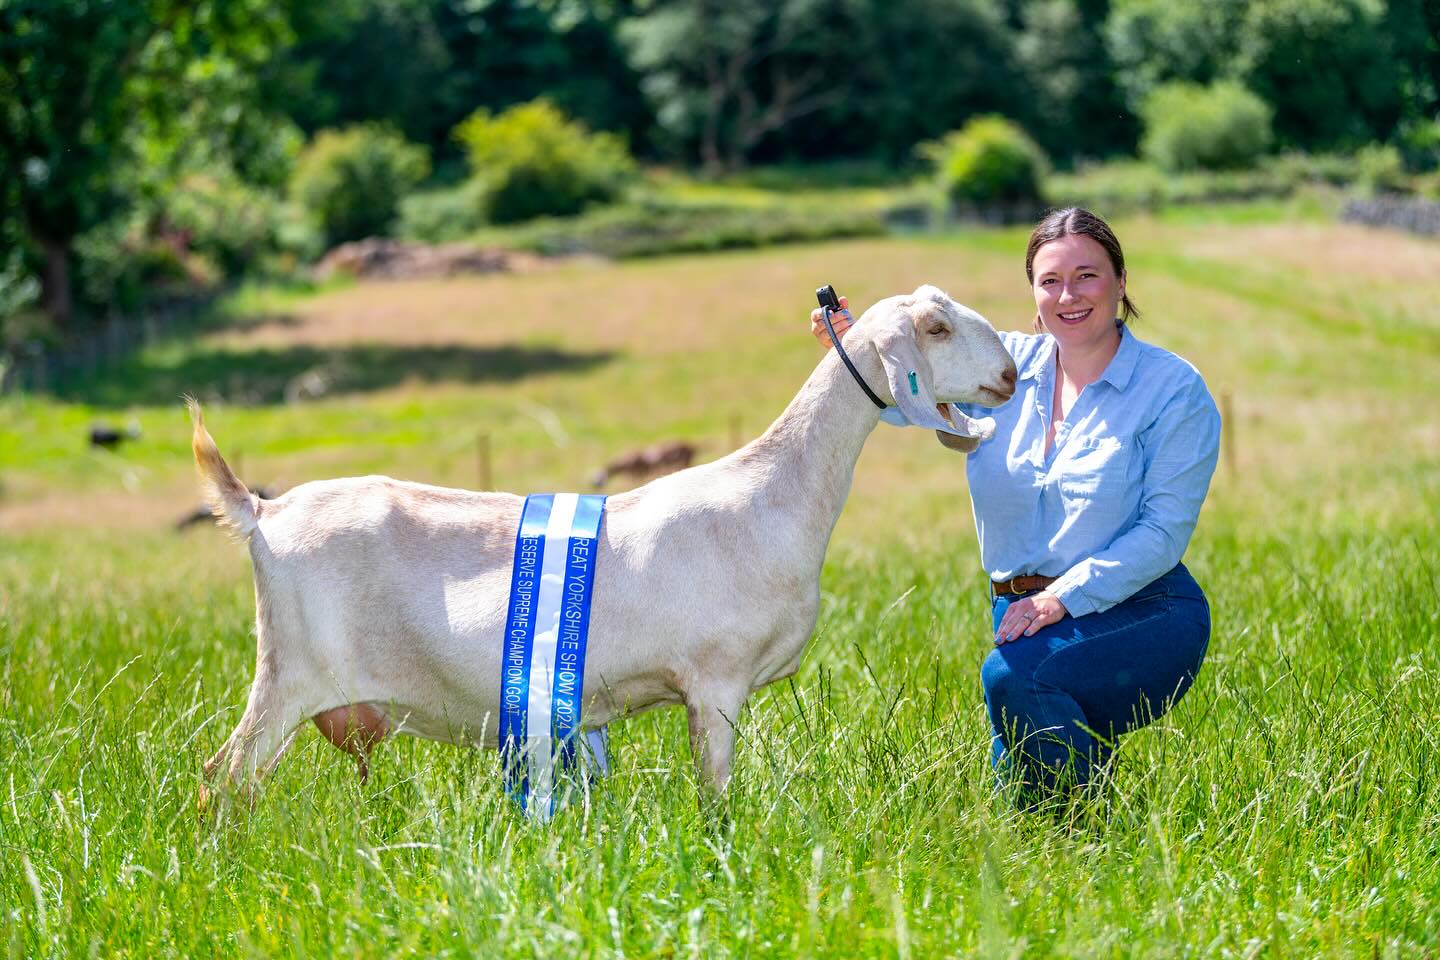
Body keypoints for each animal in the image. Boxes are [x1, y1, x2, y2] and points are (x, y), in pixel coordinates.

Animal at [190, 285, 1017, 804]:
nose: (1009, 374)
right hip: (288, 675)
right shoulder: (714, 682)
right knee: (220, 778)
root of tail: (262, 512)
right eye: (935, 329)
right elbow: (717, 796)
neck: (769, 495)